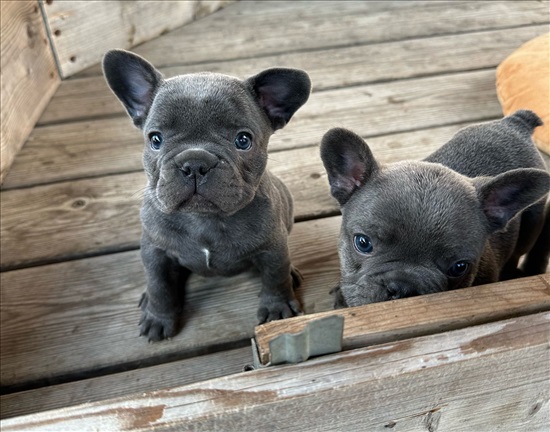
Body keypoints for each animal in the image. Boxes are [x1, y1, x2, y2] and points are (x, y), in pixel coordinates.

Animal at [102, 49, 312, 340]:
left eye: (243, 140)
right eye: (155, 140)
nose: (195, 162)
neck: (203, 219)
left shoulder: (273, 248)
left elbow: (275, 277)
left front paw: (277, 308)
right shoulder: (155, 253)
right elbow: (159, 287)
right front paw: (158, 316)